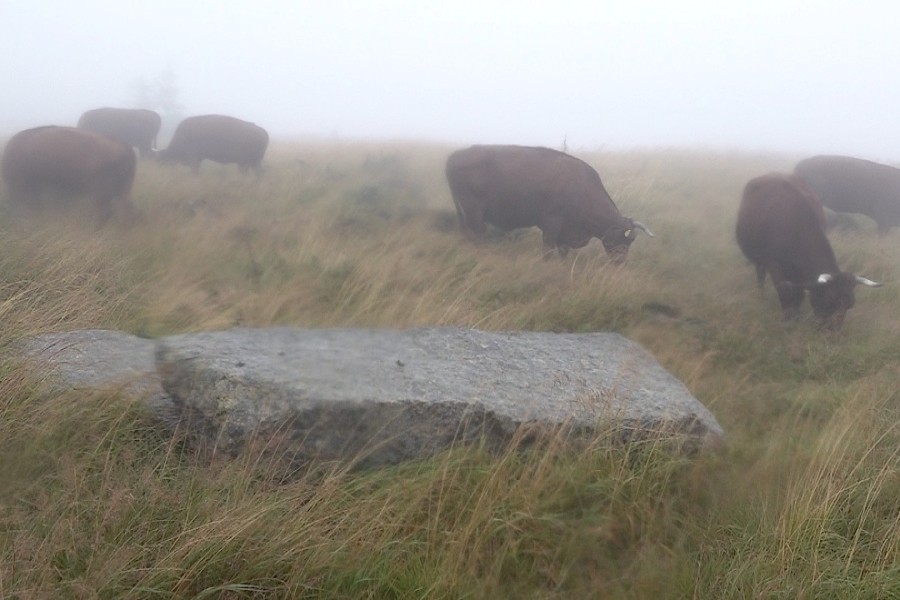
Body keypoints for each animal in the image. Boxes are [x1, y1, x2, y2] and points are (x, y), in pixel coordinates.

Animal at [444, 145, 652, 260]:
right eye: (624, 240)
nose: (620, 262)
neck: (581, 188)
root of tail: (455, 155)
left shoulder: (565, 233)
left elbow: (563, 252)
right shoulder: (552, 225)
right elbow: (548, 251)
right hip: (474, 213)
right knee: (475, 235)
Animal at [740, 171, 880, 330]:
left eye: (850, 304)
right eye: (830, 300)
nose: (833, 331)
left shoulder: (800, 273)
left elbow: (799, 294)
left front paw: (797, 315)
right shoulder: (774, 265)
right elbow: (785, 293)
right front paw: (787, 318)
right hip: (758, 259)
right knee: (760, 276)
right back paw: (761, 296)